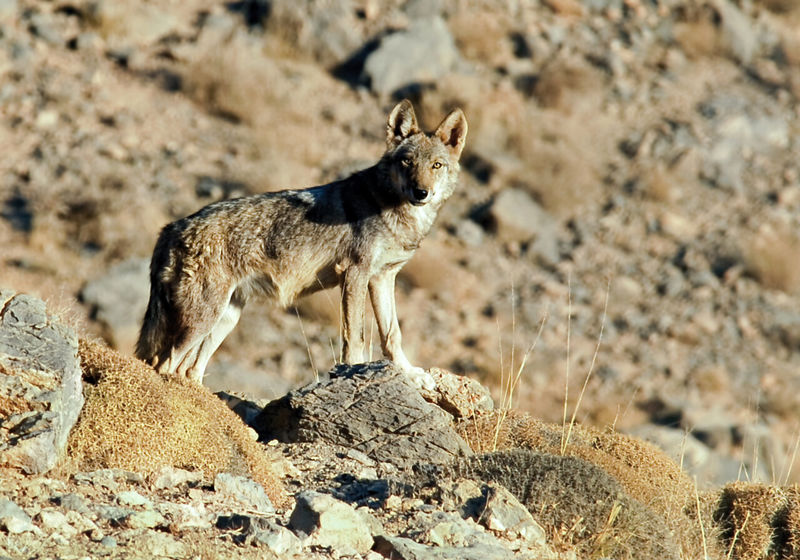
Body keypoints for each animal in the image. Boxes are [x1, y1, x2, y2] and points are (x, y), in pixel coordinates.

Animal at [134, 100, 466, 390]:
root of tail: (171, 228)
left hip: (226, 317)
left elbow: (392, 334)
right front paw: (354, 371)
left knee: (189, 369)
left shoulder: (383, 278)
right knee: (164, 363)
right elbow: (355, 337)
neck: (391, 209)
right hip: (203, 318)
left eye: (436, 165)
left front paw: (411, 374)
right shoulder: (355, 274)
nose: (421, 192)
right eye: (407, 161)